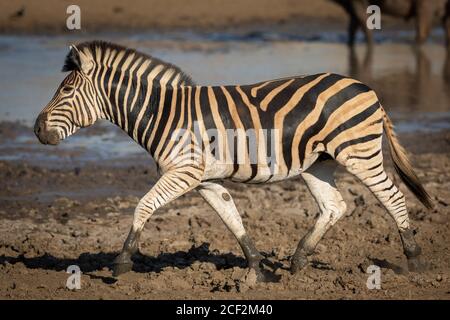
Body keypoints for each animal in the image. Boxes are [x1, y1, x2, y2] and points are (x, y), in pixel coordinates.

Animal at [35, 40, 432, 282]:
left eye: (66, 90)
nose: (37, 129)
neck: (164, 114)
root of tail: (367, 88)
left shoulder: (183, 172)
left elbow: (142, 206)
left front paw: (121, 263)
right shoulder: (205, 180)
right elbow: (232, 219)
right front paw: (258, 269)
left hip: (359, 152)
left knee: (392, 196)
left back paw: (414, 259)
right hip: (317, 163)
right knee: (334, 205)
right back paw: (298, 260)